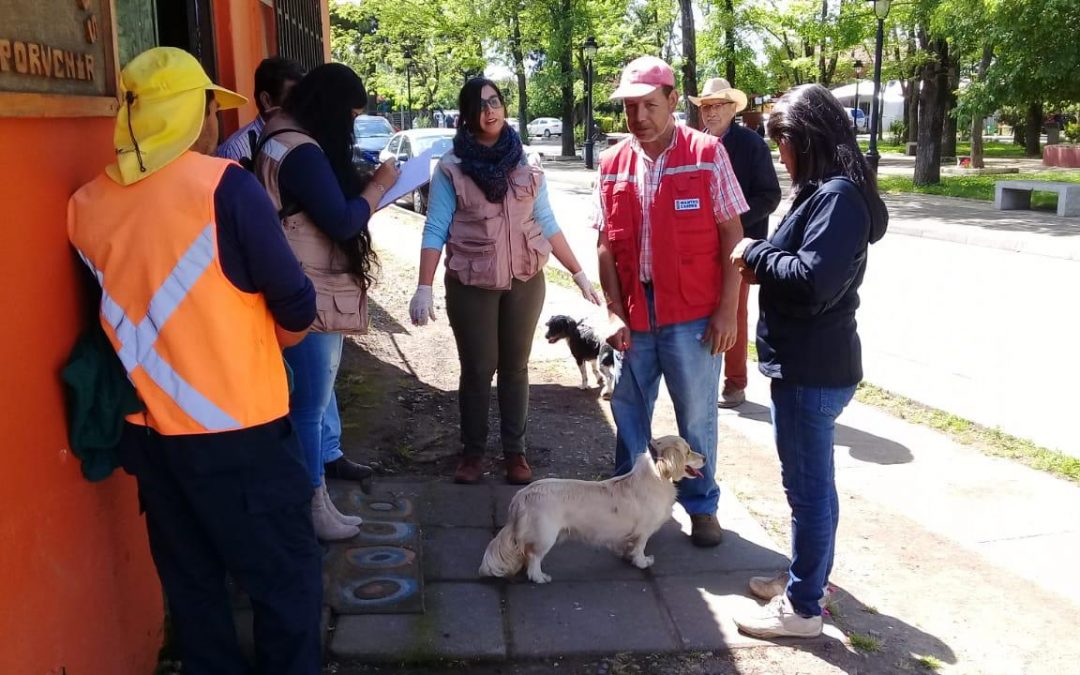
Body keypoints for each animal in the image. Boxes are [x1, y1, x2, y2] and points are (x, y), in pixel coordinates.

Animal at [481, 434, 708, 583]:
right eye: (688, 451)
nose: (705, 457)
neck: (655, 476)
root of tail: (521, 497)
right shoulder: (644, 532)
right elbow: (639, 549)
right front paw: (643, 562)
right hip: (545, 537)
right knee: (533, 558)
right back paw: (540, 577)